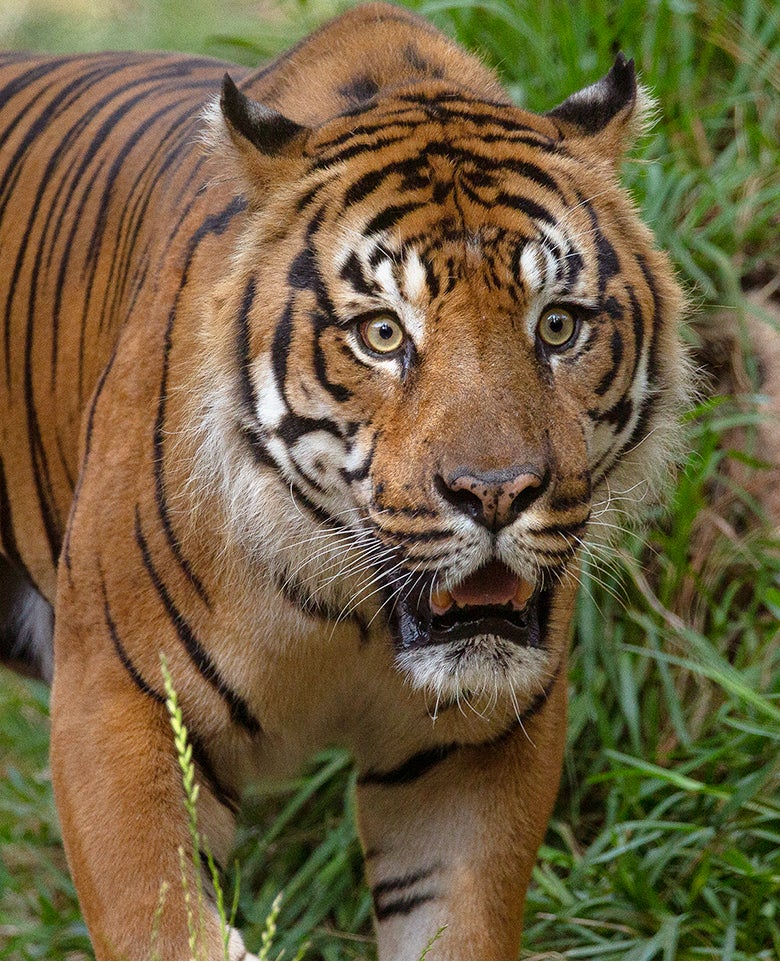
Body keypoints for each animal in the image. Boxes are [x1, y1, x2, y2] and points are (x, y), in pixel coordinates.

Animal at [0, 3, 689, 959]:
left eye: (556, 326)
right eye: (382, 335)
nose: (495, 493)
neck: (348, 613)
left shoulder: (470, 752)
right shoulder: (116, 704)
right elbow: (167, 926)